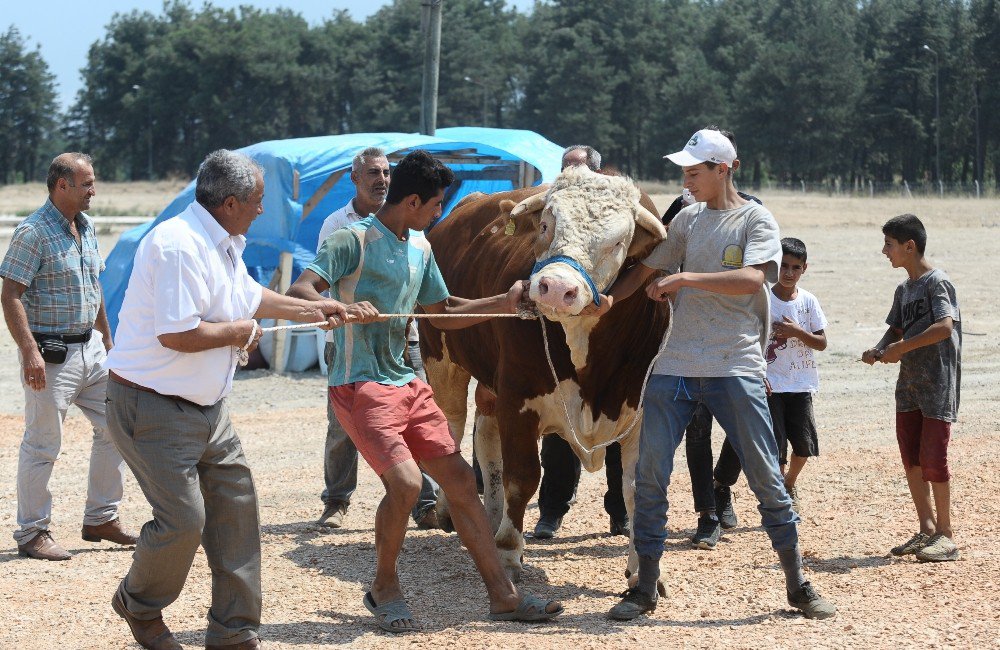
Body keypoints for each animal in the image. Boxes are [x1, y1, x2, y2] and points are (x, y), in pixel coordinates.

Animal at [418, 166, 668, 584]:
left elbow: (637, 489)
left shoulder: (644, 410)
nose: (556, 288)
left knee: (485, 436)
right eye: (547, 225)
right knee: (451, 428)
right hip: (441, 357)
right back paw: (448, 510)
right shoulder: (519, 400)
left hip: (490, 384)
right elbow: (522, 477)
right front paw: (508, 553)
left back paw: (491, 518)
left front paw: (642, 571)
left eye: (618, 242)